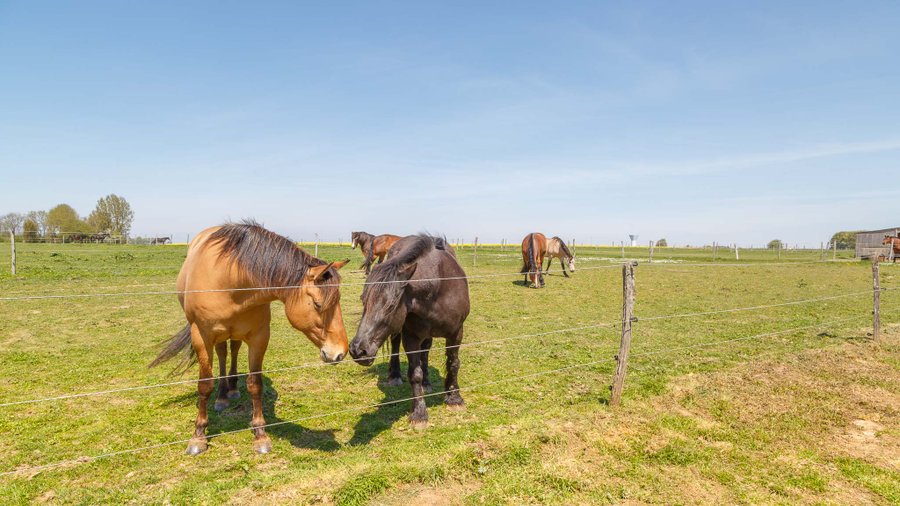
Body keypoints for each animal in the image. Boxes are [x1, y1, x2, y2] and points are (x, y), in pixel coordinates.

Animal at [150, 221, 350, 455]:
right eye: (318, 304)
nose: (340, 352)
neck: (231, 282)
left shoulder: (259, 336)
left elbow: (255, 384)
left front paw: (260, 434)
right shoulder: (201, 337)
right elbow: (205, 384)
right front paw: (198, 436)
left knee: (233, 350)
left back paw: (232, 389)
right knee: (222, 355)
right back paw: (221, 396)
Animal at [349, 235, 470, 429]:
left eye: (391, 305)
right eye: (363, 300)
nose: (357, 350)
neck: (437, 288)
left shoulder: (456, 332)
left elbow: (453, 364)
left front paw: (454, 398)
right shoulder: (410, 337)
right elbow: (415, 374)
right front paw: (419, 413)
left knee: (425, 351)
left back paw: (427, 383)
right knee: (395, 347)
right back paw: (395, 376)